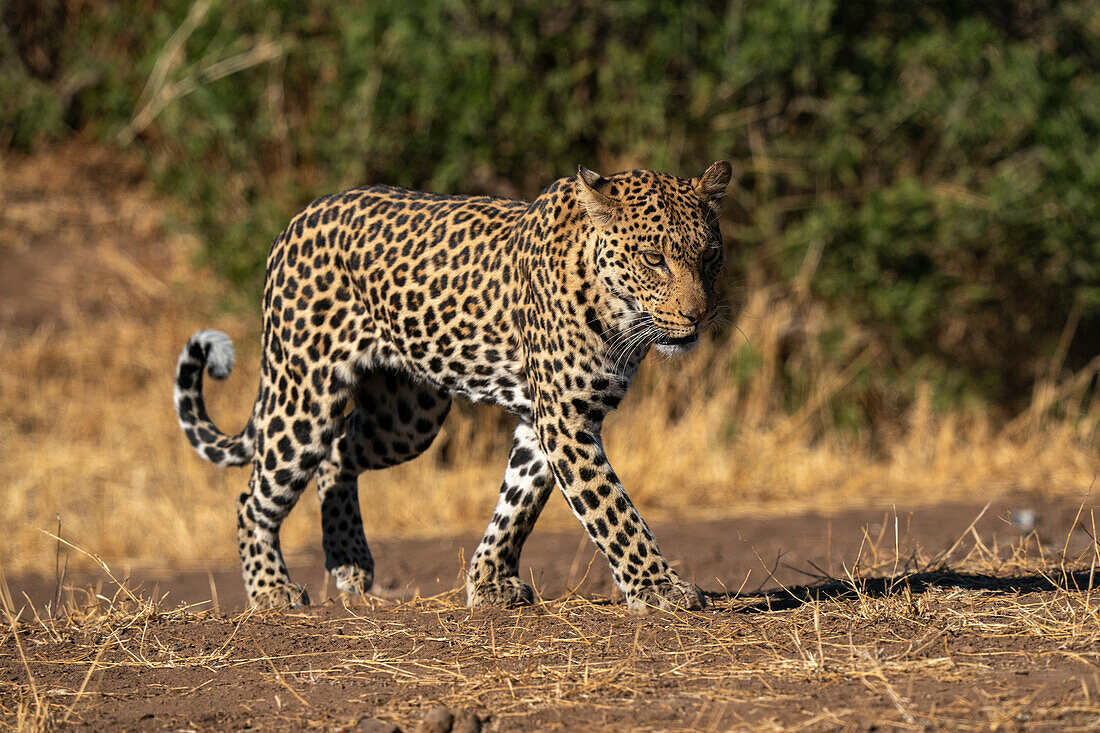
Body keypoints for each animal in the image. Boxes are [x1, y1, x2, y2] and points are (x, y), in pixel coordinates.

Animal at [173, 161, 730, 611]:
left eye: (709, 256)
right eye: (654, 259)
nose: (698, 316)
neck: (614, 309)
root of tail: (295, 221)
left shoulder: (547, 419)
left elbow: (519, 502)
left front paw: (489, 581)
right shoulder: (564, 420)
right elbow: (612, 510)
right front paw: (659, 587)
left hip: (406, 420)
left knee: (337, 454)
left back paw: (349, 561)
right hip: (304, 393)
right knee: (254, 498)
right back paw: (271, 590)